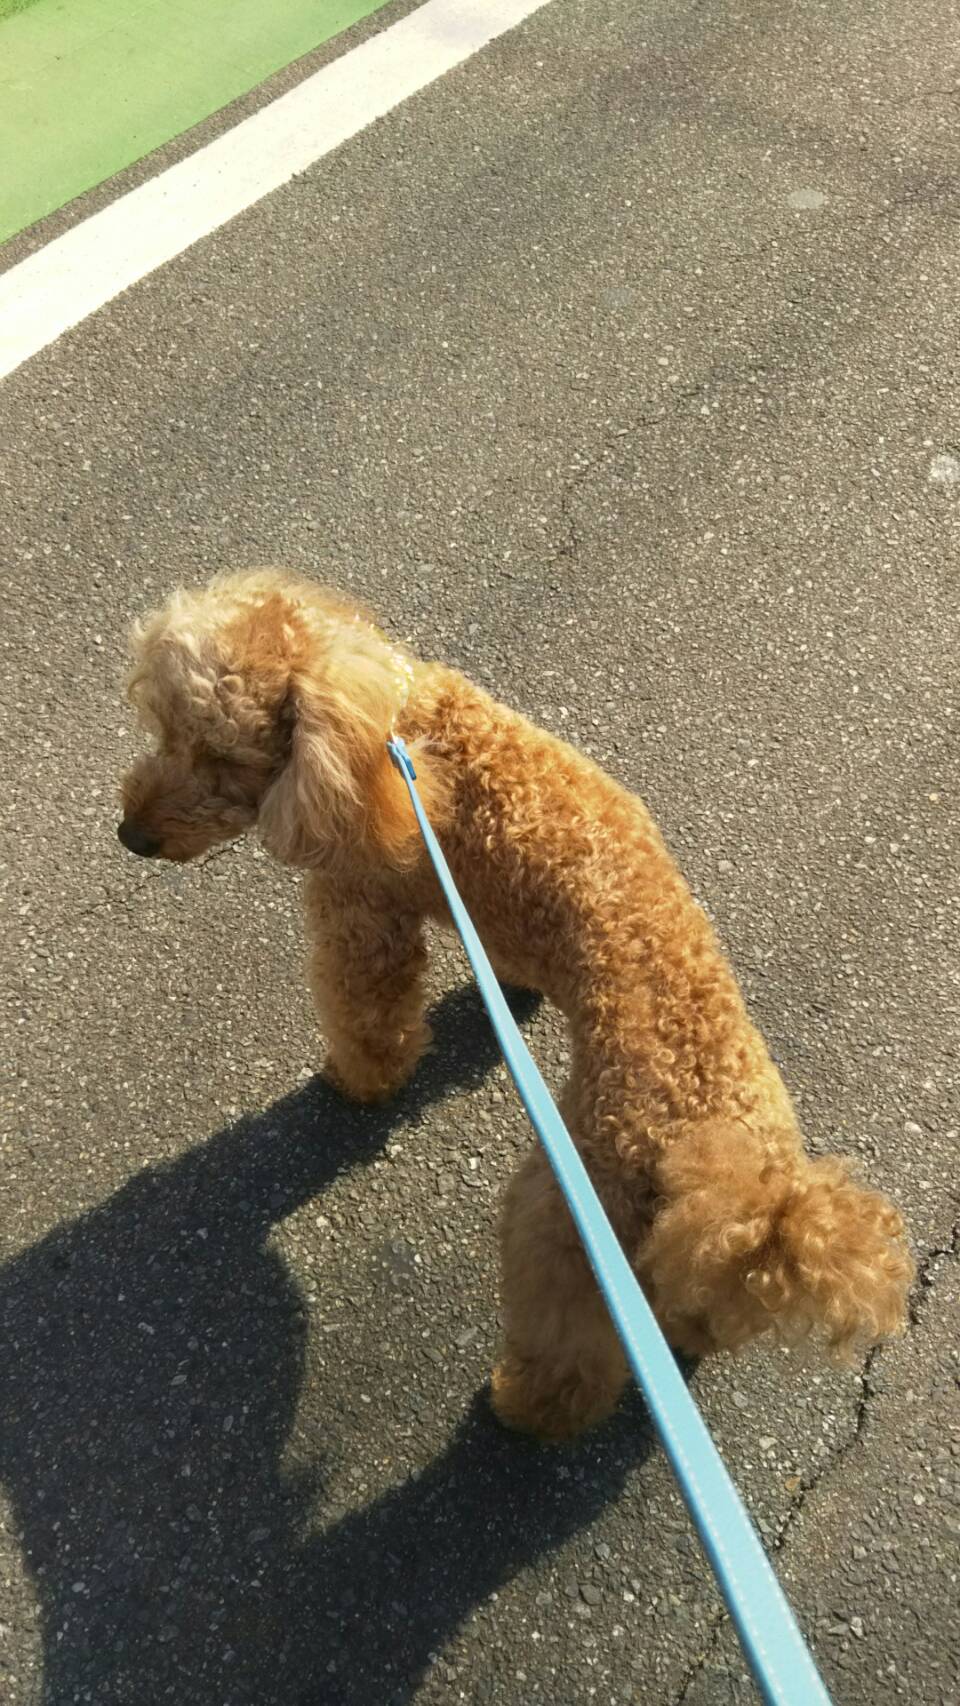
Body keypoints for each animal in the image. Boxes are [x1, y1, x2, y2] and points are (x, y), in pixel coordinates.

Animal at [118, 568, 913, 1439]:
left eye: (221, 755)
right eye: (162, 730)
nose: (131, 836)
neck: (388, 726)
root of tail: (754, 1190)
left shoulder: (362, 914)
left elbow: (369, 1016)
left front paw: (356, 1082)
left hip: (566, 1215)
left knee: (569, 1348)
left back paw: (521, 1409)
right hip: (674, 1251)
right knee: (693, 1309)